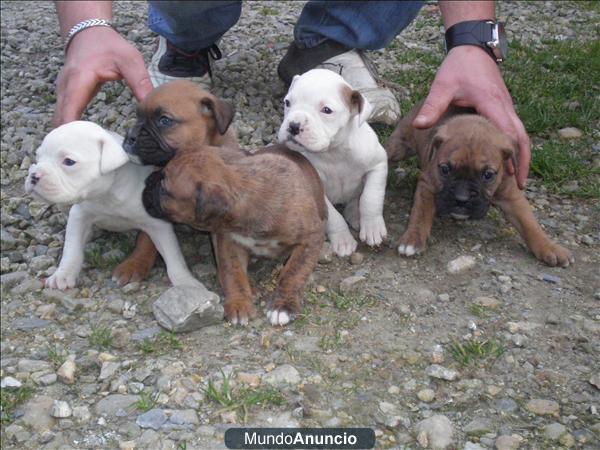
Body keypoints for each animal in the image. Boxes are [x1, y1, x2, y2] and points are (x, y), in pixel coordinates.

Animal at [24, 122, 204, 292]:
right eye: (37, 158)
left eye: (69, 162)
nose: (33, 175)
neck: (107, 194)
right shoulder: (79, 215)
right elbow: (72, 248)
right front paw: (63, 274)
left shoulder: (158, 223)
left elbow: (172, 255)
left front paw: (185, 282)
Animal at [113, 80, 240, 284]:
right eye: (137, 116)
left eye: (164, 121)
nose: (129, 137)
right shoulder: (152, 204)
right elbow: (145, 238)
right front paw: (135, 263)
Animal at [142, 142, 326, 326]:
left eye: (164, 188)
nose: (147, 180)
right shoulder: (228, 243)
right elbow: (233, 274)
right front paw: (239, 304)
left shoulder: (311, 238)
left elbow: (293, 272)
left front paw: (283, 306)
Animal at [278, 67, 390, 256]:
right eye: (287, 102)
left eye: (327, 110)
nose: (293, 125)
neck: (333, 152)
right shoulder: (316, 189)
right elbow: (334, 217)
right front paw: (343, 240)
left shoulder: (378, 166)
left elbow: (370, 198)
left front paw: (372, 228)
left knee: (356, 198)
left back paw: (355, 215)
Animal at [386, 104, 576, 268]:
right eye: (445, 169)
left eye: (488, 175)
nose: (461, 199)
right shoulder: (428, 184)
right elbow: (420, 213)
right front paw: (412, 239)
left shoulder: (512, 196)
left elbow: (530, 224)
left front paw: (549, 247)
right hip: (400, 145)